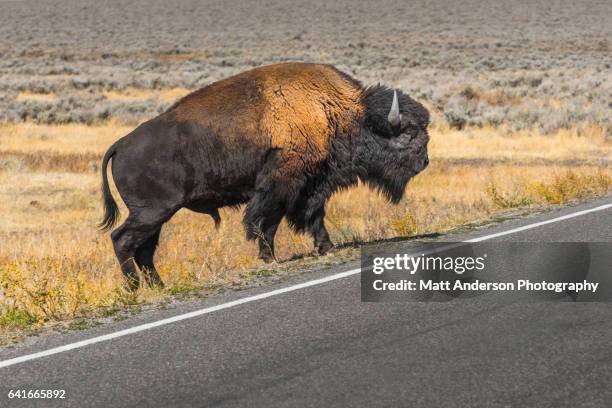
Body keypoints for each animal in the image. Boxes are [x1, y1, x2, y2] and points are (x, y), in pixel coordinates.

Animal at [100, 62, 430, 290]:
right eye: (408, 132)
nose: (424, 162)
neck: (335, 112)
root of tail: (120, 145)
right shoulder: (281, 185)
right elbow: (266, 221)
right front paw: (270, 257)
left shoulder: (313, 185)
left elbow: (312, 215)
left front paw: (325, 247)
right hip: (152, 212)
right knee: (123, 240)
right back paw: (134, 289)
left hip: (156, 216)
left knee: (144, 249)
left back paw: (158, 286)